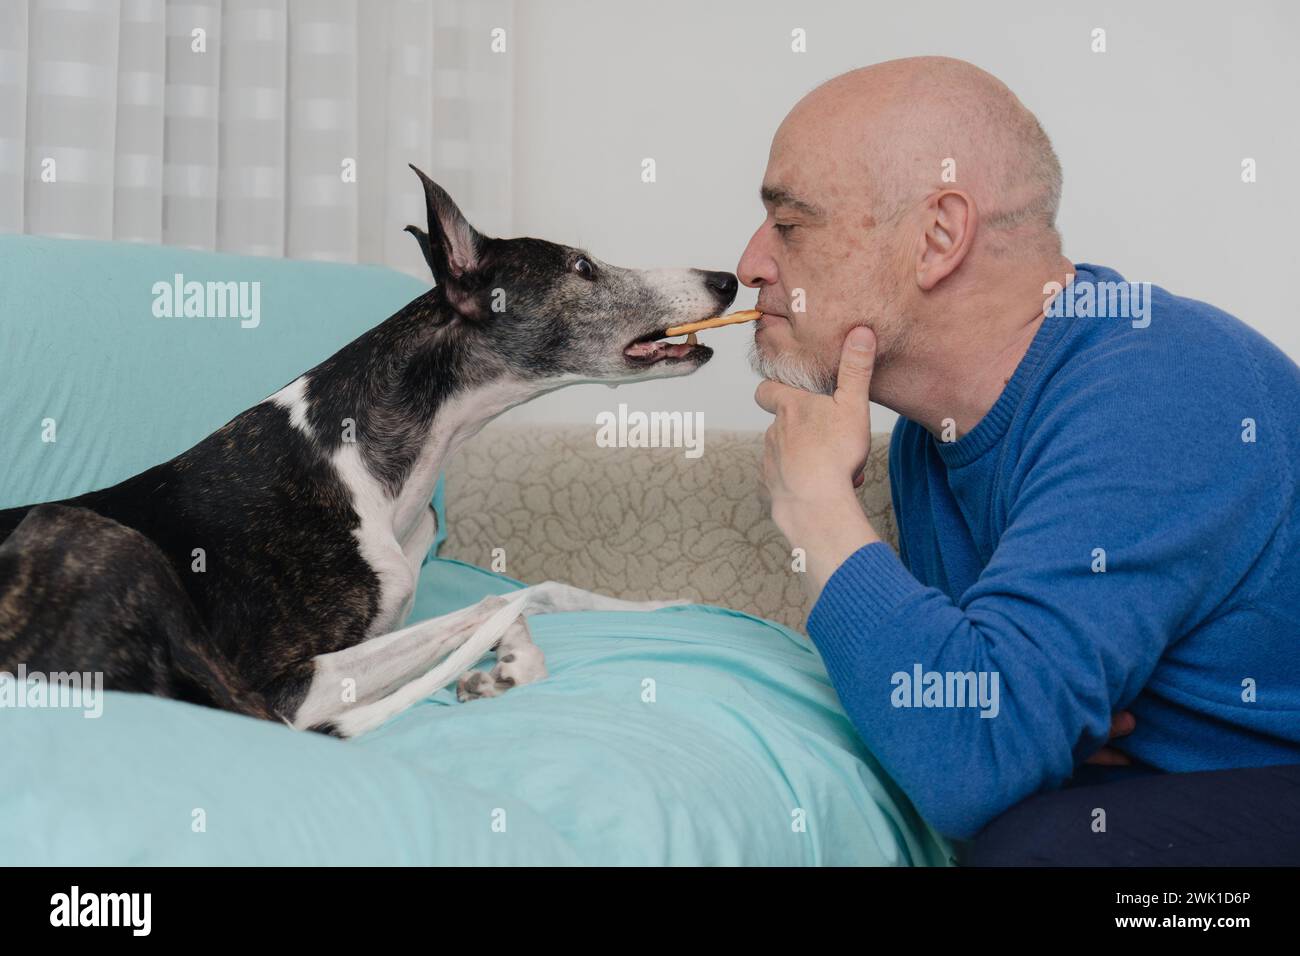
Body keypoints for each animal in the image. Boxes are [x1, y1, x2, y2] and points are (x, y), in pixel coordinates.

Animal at [0, 164, 738, 738]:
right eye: (581, 267)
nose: (728, 280)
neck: (365, 464)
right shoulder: (288, 684)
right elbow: (497, 601)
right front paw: (517, 658)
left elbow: (527, 596)